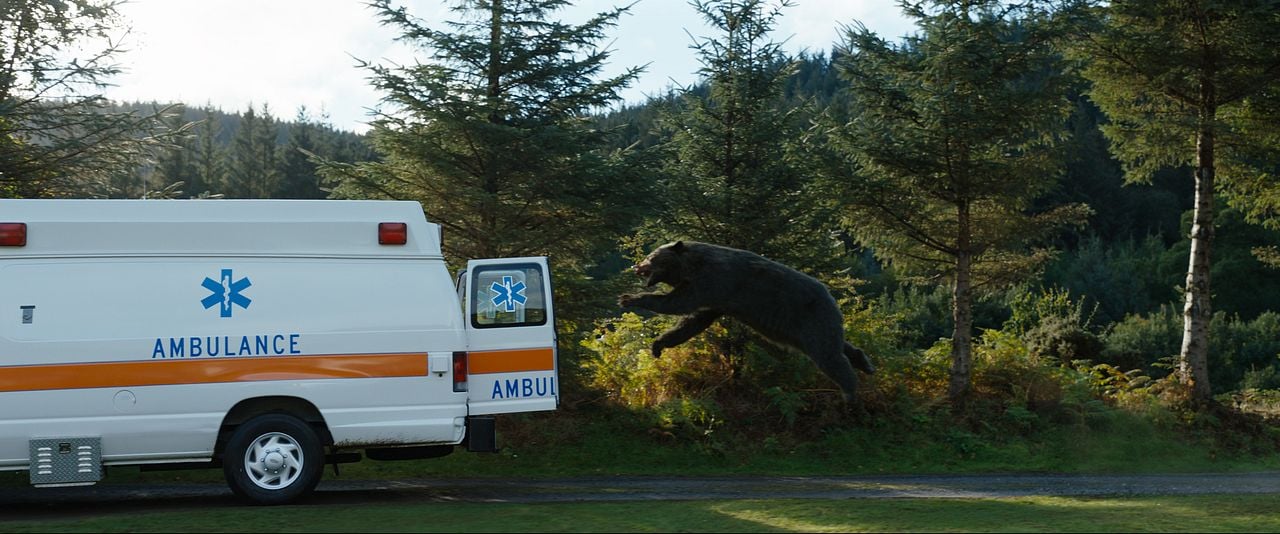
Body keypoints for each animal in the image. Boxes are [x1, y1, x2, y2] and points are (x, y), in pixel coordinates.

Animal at [618, 240, 875, 403]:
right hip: (805, 329)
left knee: (829, 357)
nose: (637, 266)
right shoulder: (716, 300)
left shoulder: (713, 281)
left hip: (809, 318)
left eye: (651, 257)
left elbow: (677, 303)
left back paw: (850, 393)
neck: (692, 267)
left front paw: (629, 298)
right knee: (838, 346)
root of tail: (832, 297)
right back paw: (865, 362)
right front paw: (658, 345)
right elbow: (692, 322)